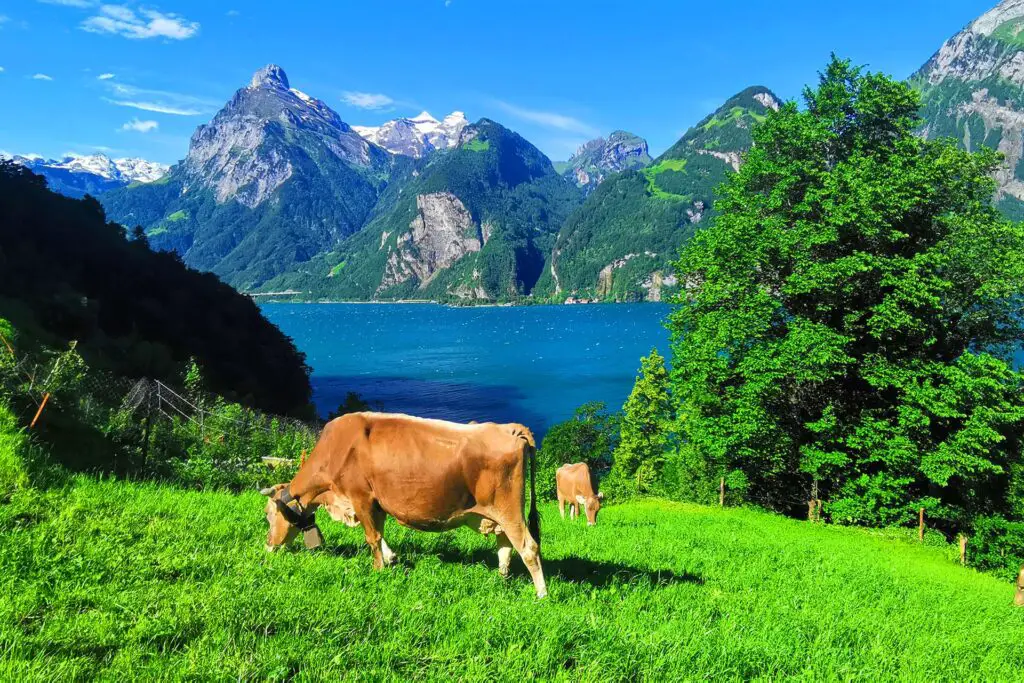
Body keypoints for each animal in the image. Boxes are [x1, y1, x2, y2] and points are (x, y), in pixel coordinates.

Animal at [260, 411, 548, 598]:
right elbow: (380, 532)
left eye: (268, 515)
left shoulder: (361, 497)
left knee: (528, 547)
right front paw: (391, 558)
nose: (268, 546)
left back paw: (541, 594)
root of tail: (511, 428)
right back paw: (502, 579)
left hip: (509, 510)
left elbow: (372, 537)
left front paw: (377, 569)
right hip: (498, 514)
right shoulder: (377, 501)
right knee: (505, 546)